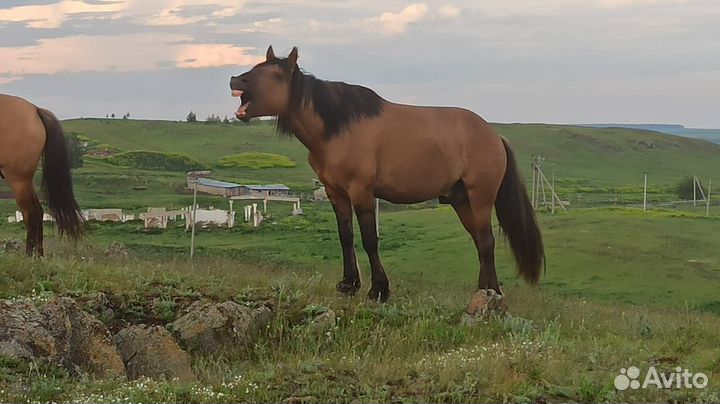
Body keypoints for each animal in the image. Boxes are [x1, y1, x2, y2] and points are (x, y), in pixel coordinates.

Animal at [0, 94, 83, 256]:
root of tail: (35, 110)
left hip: (18, 179)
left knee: (31, 212)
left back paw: (30, 256)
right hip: (25, 180)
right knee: (37, 211)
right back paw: (38, 254)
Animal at [228, 45, 544, 302]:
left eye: (275, 75)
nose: (234, 80)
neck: (338, 128)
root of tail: (494, 136)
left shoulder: (362, 191)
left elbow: (370, 239)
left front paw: (378, 289)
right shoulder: (335, 193)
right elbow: (345, 237)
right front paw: (348, 285)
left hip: (480, 198)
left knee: (487, 243)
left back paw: (491, 293)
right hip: (461, 200)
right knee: (481, 242)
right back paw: (485, 291)